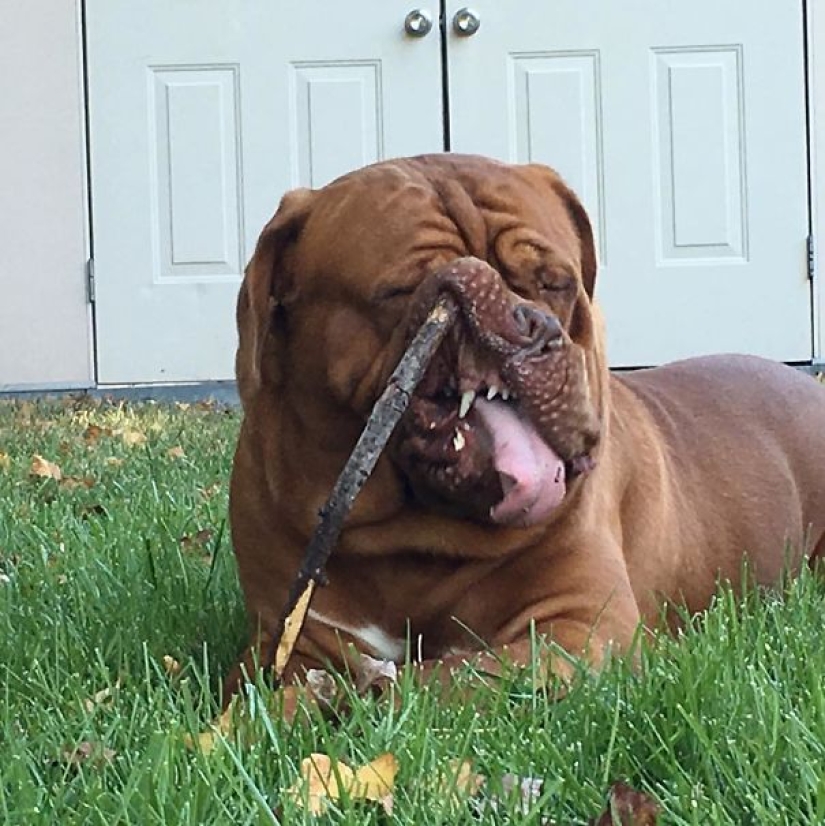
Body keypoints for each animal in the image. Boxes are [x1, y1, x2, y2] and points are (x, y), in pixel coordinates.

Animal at [229, 153, 824, 688]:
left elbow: (446, 680)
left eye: (555, 282)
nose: (526, 327)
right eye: (399, 291)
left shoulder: (581, 628)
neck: (411, 539)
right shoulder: (291, 639)